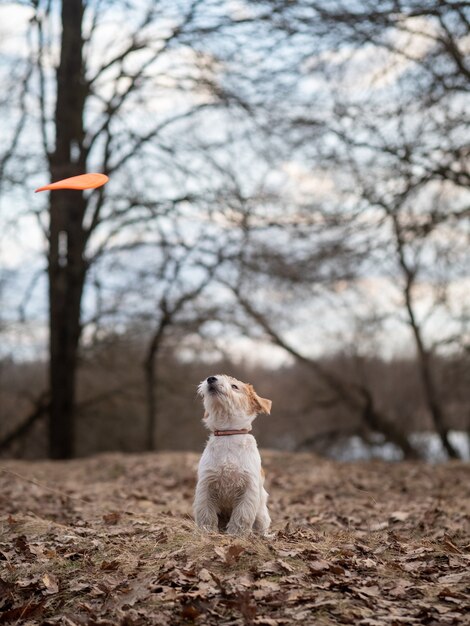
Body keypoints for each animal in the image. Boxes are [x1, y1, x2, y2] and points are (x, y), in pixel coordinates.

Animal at [193, 372, 272, 532]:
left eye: (235, 386)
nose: (211, 378)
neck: (228, 434)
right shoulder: (206, 484)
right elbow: (205, 512)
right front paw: (207, 530)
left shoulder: (248, 487)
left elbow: (242, 515)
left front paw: (236, 533)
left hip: (262, 515)